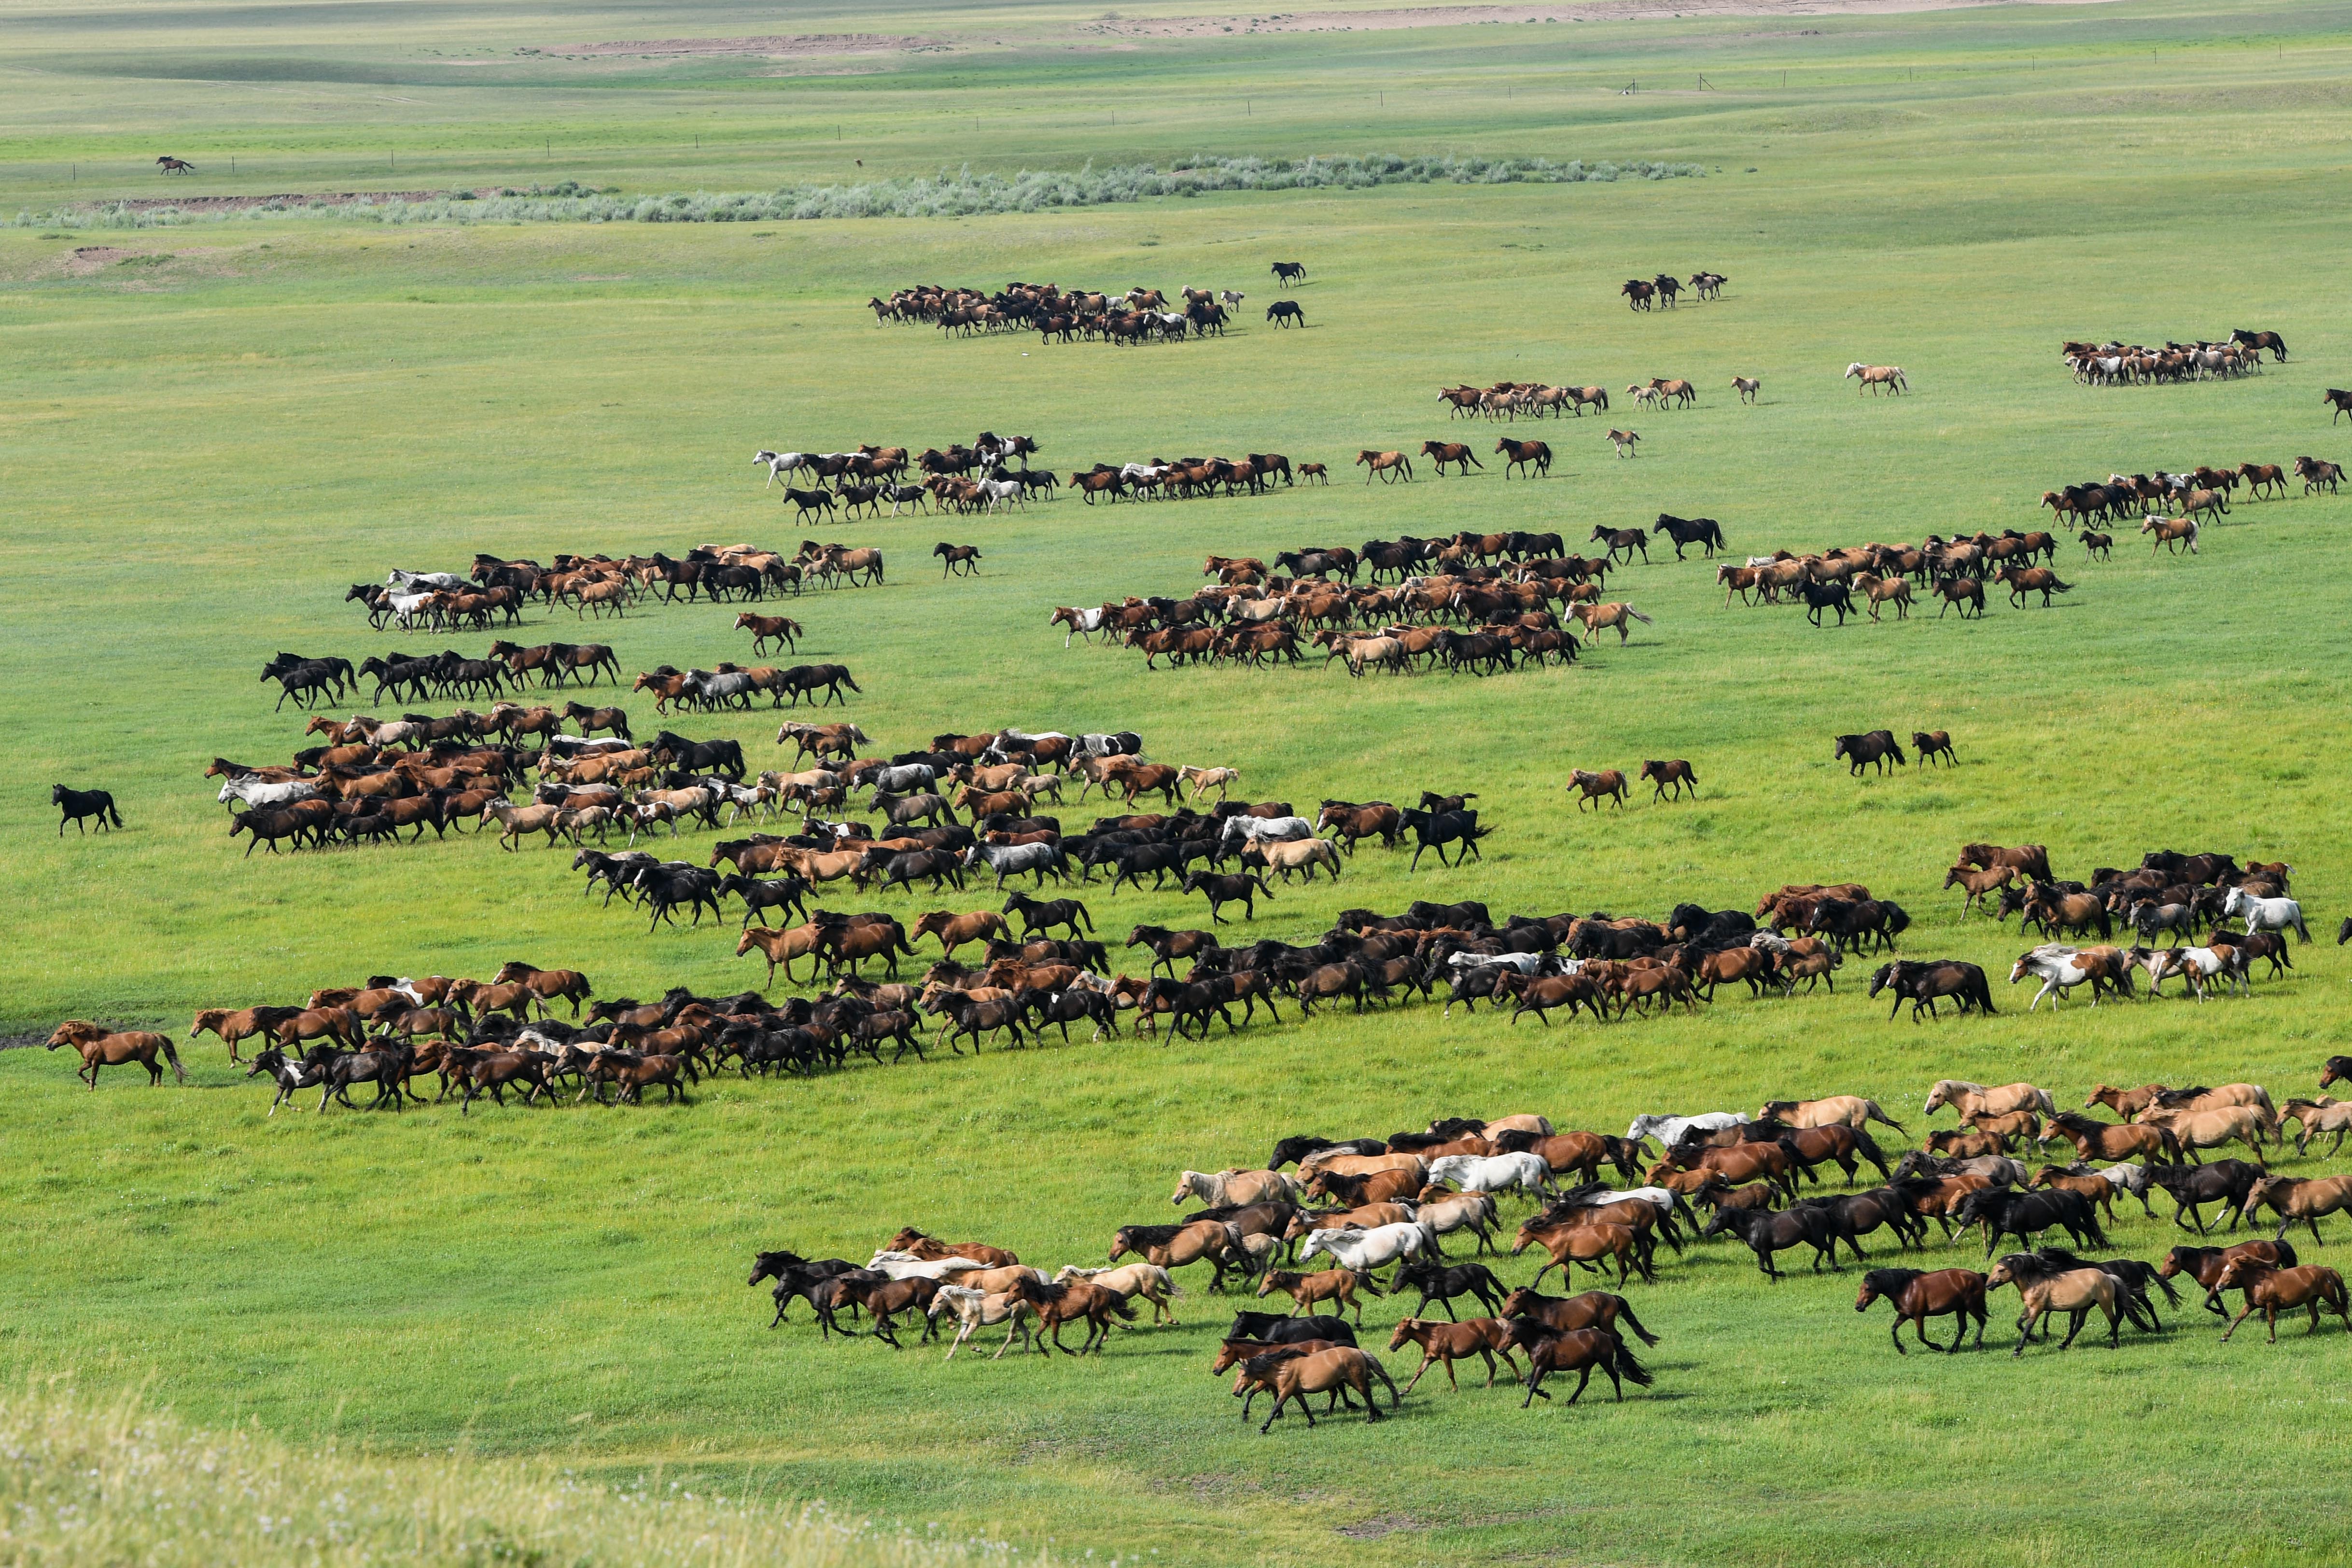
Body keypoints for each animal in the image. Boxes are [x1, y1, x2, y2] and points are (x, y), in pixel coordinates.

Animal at [2220, 888, 2314, 940]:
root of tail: (2293, 903)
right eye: (2227, 898)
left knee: (2301, 933)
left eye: (2235, 899)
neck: (2252, 907)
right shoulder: (2254, 927)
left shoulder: (2254, 924)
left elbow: (2248, 935)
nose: (2227, 911)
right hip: (2279, 927)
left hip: (2296, 923)